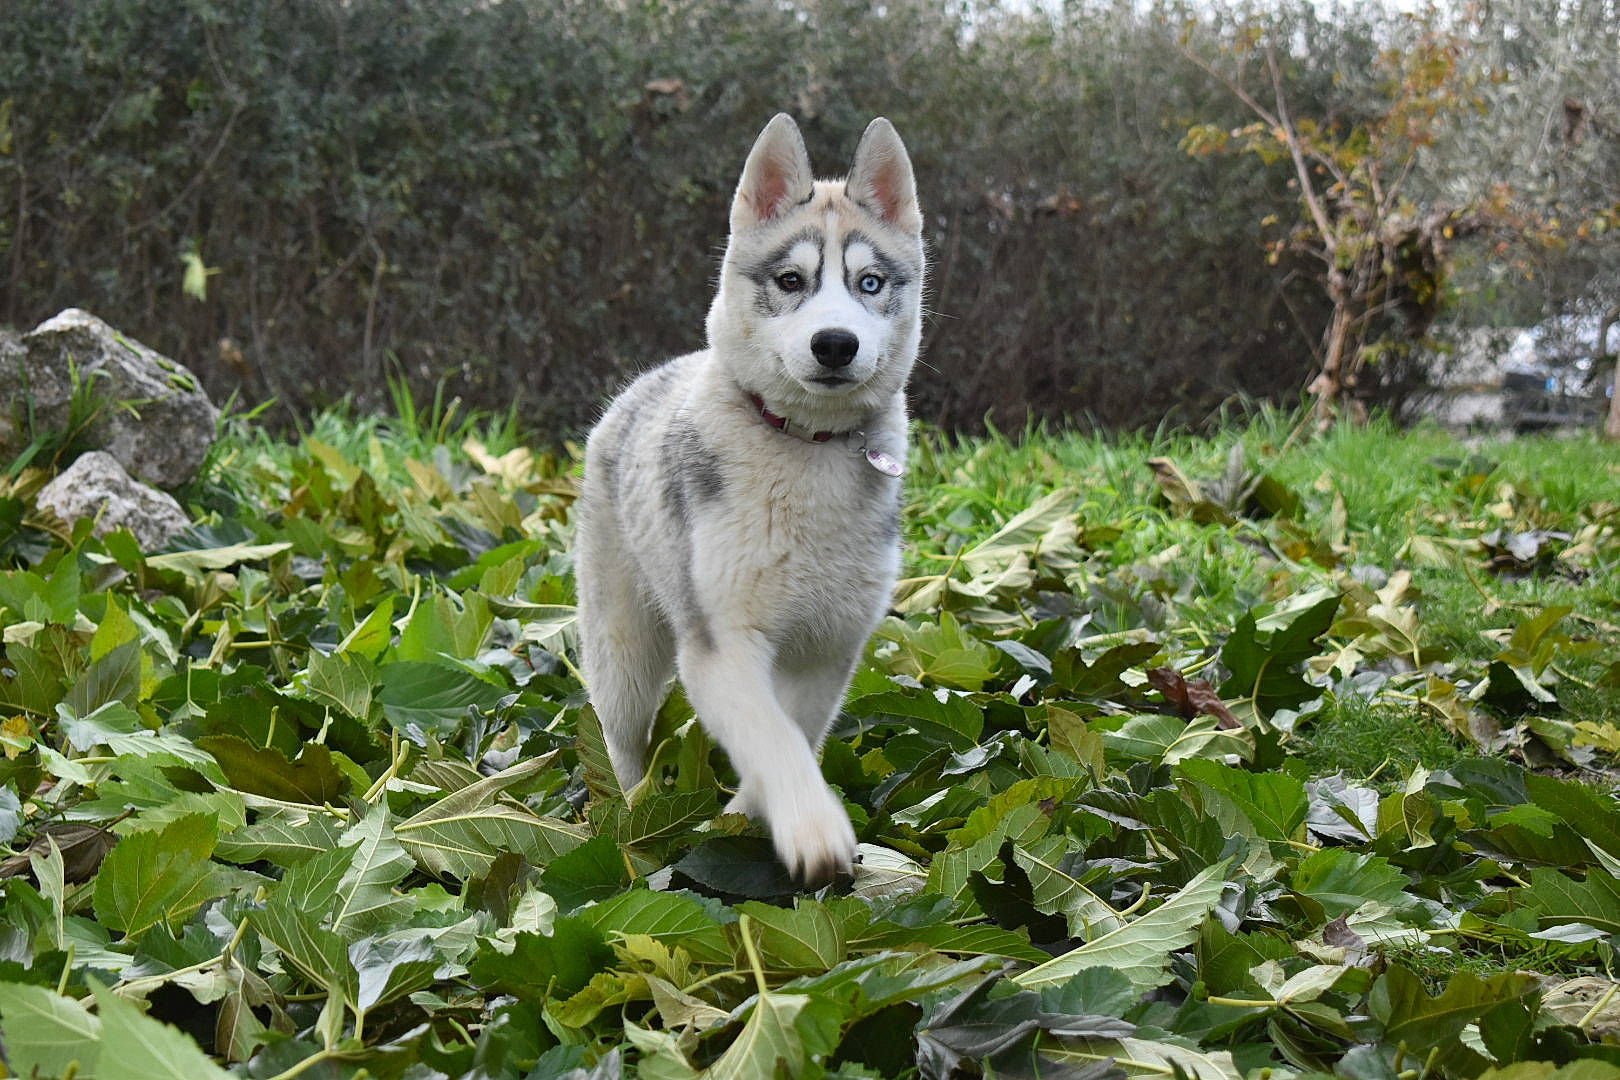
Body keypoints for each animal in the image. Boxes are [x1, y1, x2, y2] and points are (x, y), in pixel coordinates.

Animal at [573, 114, 924, 885]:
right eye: (792, 280)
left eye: (870, 282)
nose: (835, 343)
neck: (805, 447)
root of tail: (653, 376)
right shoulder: (721, 643)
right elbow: (771, 737)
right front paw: (814, 831)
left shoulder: (829, 649)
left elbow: (790, 734)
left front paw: (743, 819)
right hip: (624, 653)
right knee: (623, 740)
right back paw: (631, 822)